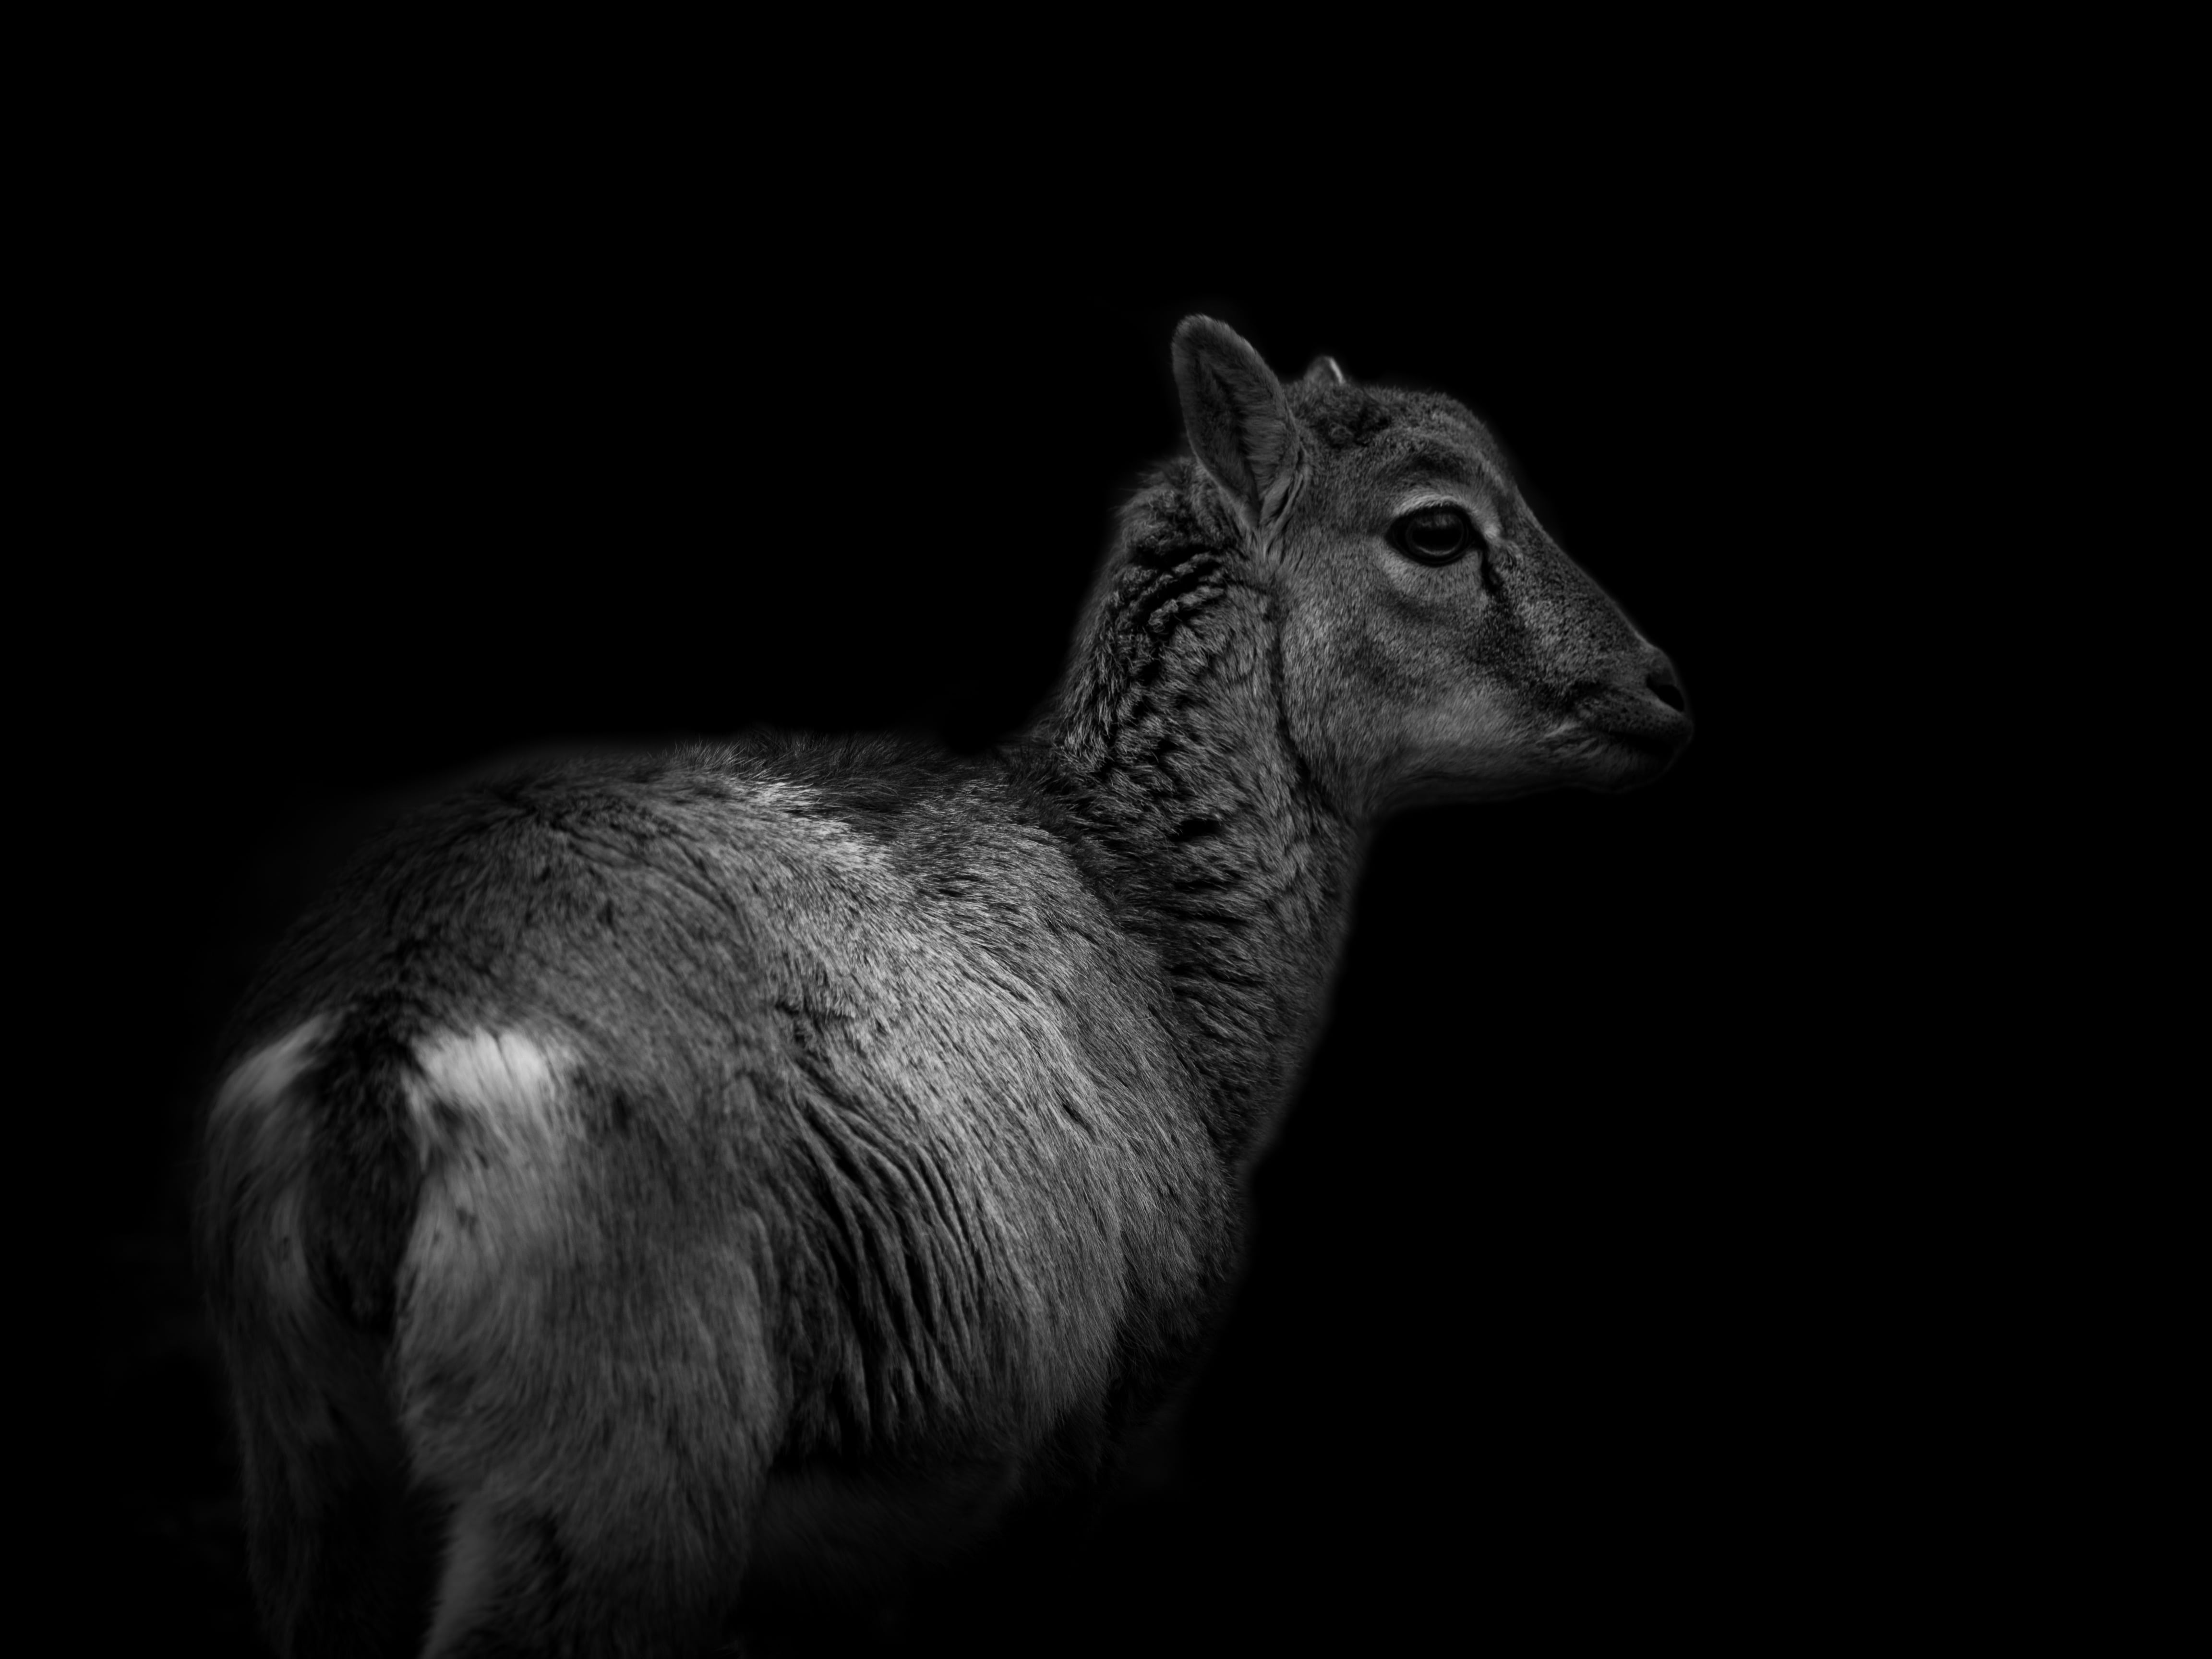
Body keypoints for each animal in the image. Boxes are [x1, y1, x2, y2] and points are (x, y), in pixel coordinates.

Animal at [197, 316, 1693, 1656]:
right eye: (1435, 527)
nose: (1663, 689)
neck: (1164, 966)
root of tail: (378, 1056)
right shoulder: (1083, 1432)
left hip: (314, 1474)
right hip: (616, 1460)